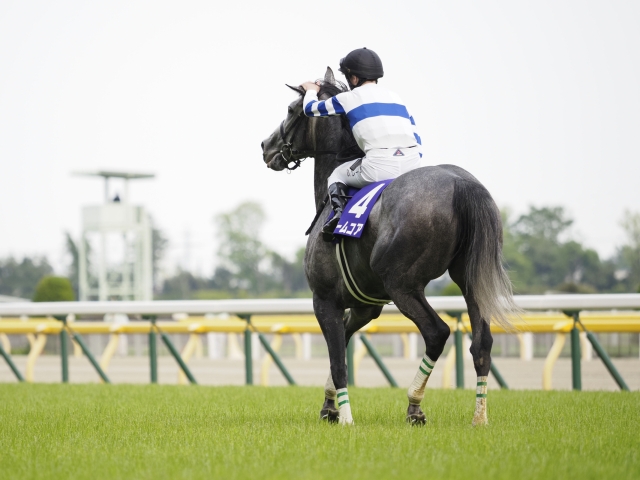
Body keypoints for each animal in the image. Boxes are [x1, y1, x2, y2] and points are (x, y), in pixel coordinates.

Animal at [260, 66, 520, 424]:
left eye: (290, 110)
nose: (265, 146)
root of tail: (461, 184)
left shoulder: (324, 299)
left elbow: (339, 361)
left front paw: (345, 418)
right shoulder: (365, 306)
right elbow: (341, 348)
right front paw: (330, 406)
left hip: (402, 285)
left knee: (437, 332)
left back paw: (415, 405)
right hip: (469, 278)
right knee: (482, 343)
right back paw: (479, 418)